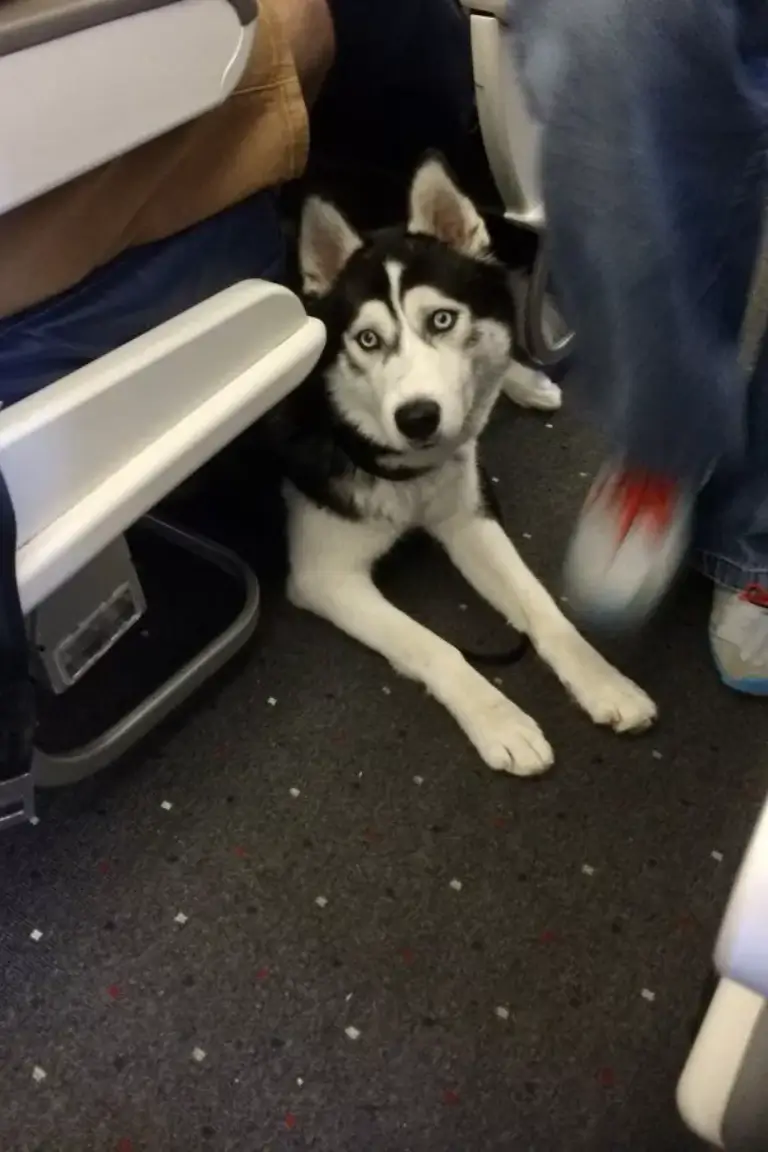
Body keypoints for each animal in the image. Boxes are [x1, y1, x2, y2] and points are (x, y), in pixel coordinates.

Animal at [269, 155, 654, 774]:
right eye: (367, 339)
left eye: (442, 321)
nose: (418, 417)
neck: (403, 468)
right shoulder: (324, 574)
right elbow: (436, 646)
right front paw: (500, 720)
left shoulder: (468, 515)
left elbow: (540, 604)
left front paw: (603, 680)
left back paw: (526, 383)